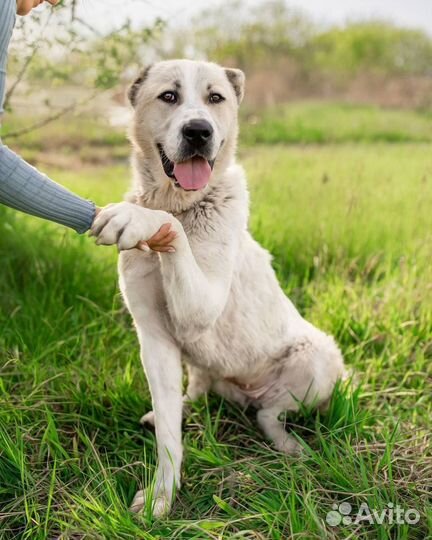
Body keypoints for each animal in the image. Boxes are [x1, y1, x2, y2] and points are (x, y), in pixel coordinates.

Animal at [91, 60, 344, 520]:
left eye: (215, 98)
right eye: (169, 96)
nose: (198, 132)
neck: (180, 202)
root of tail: (245, 392)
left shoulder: (201, 305)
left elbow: (165, 224)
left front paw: (136, 218)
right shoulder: (155, 339)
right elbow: (169, 436)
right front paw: (162, 494)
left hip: (318, 359)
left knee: (269, 414)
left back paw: (289, 444)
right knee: (197, 389)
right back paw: (181, 406)